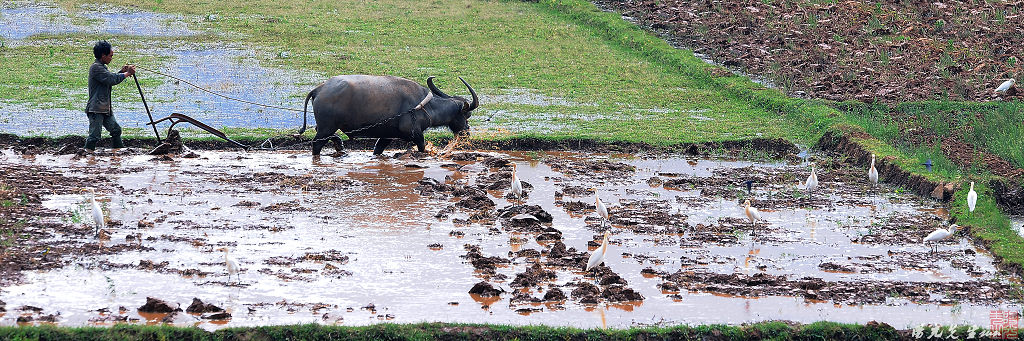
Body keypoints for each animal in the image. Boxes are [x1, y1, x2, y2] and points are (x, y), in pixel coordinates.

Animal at [299, 75, 479, 154]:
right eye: (467, 115)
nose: (467, 132)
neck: (426, 106)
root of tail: (319, 89)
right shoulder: (416, 134)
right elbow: (422, 147)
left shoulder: (387, 136)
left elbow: (378, 149)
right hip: (326, 128)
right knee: (316, 144)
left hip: (326, 127)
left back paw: (339, 145)